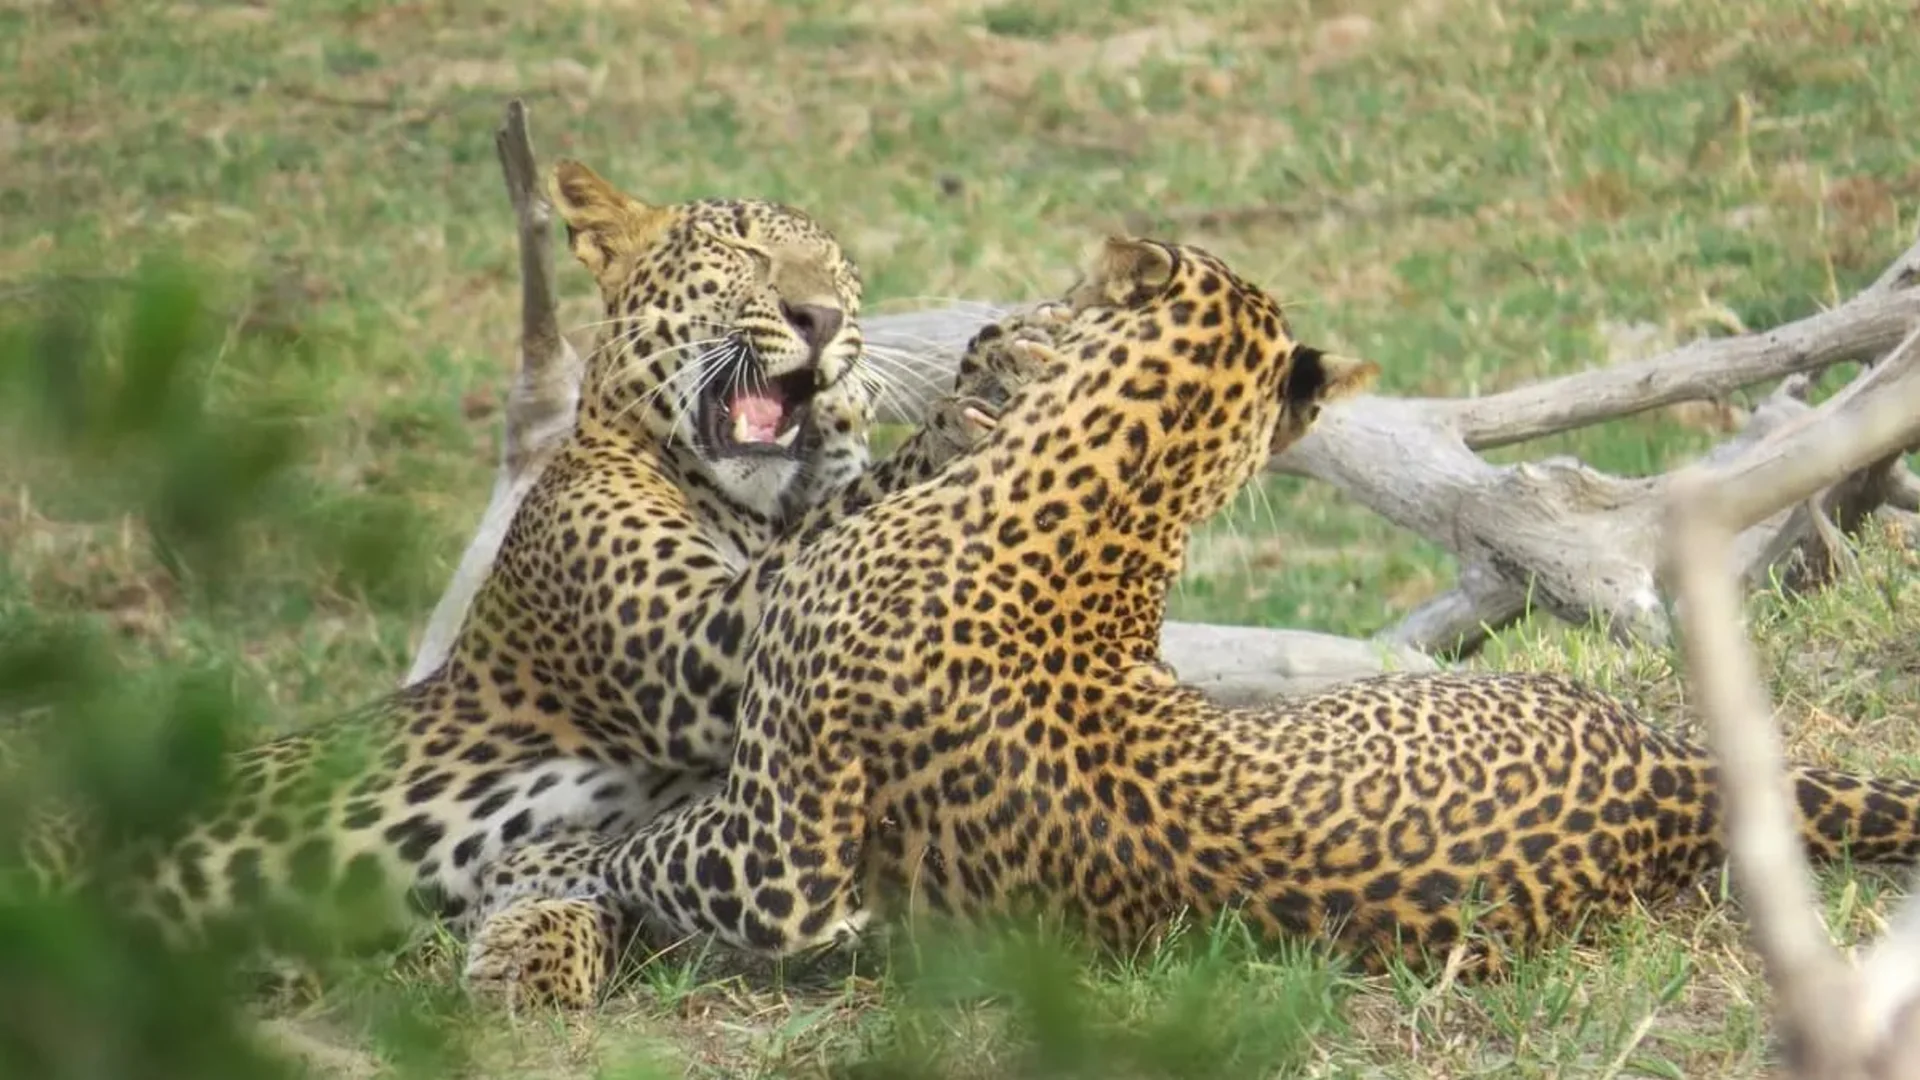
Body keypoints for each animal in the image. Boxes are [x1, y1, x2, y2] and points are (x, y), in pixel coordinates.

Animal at [10, 158, 1042, 996]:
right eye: (740, 249)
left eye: (839, 273)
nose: (823, 319)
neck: (750, 503)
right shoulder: (692, 643)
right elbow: (841, 526)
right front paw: (968, 404)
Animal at [464, 234, 1920, 1006]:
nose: (999, 324)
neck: (1118, 500)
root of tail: (1674, 774)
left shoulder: (779, 854)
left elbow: (650, 847)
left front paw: (539, 869)